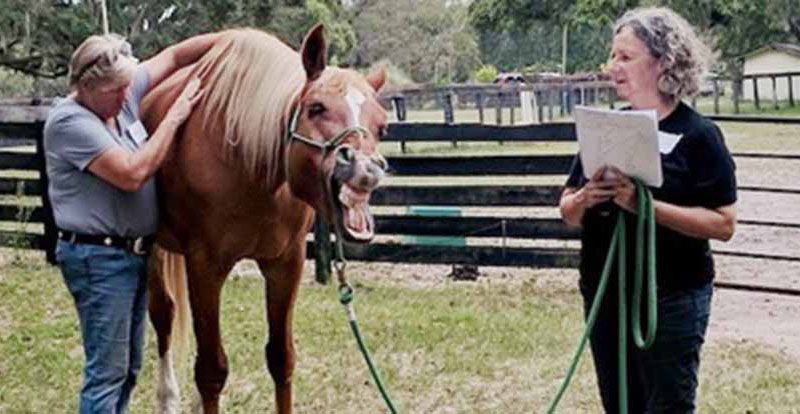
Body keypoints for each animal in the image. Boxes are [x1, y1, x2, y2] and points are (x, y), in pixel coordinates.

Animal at [141, 26, 390, 414]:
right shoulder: (204, 267)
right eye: (316, 108)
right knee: (163, 315)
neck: (249, 161)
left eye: (382, 127)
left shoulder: (285, 265)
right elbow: (211, 371)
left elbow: (281, 359)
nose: (365, 168)